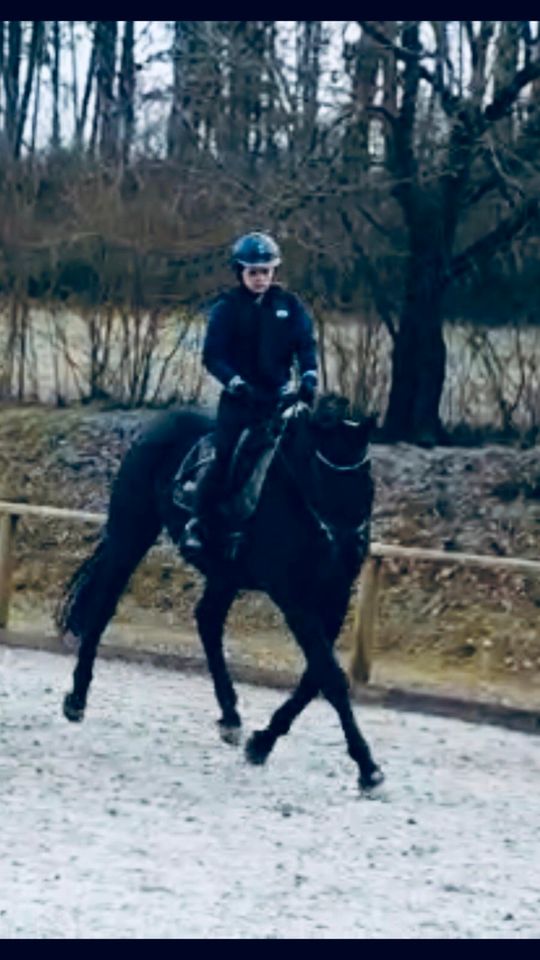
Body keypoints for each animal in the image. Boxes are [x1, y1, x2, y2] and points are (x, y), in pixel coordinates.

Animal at [58, 394, 384, 792]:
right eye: (324, 478)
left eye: (366, 482)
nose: (350, 548)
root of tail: (158, 423)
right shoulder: (294, 598)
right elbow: (330, 676)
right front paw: (367, 766)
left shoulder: (334, 597)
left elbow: (315, 677)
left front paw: (263, 742)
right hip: (130, 533)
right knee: (103, 606)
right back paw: (77, 698)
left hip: (225, 572)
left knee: (208, 621)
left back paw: (230, 716)